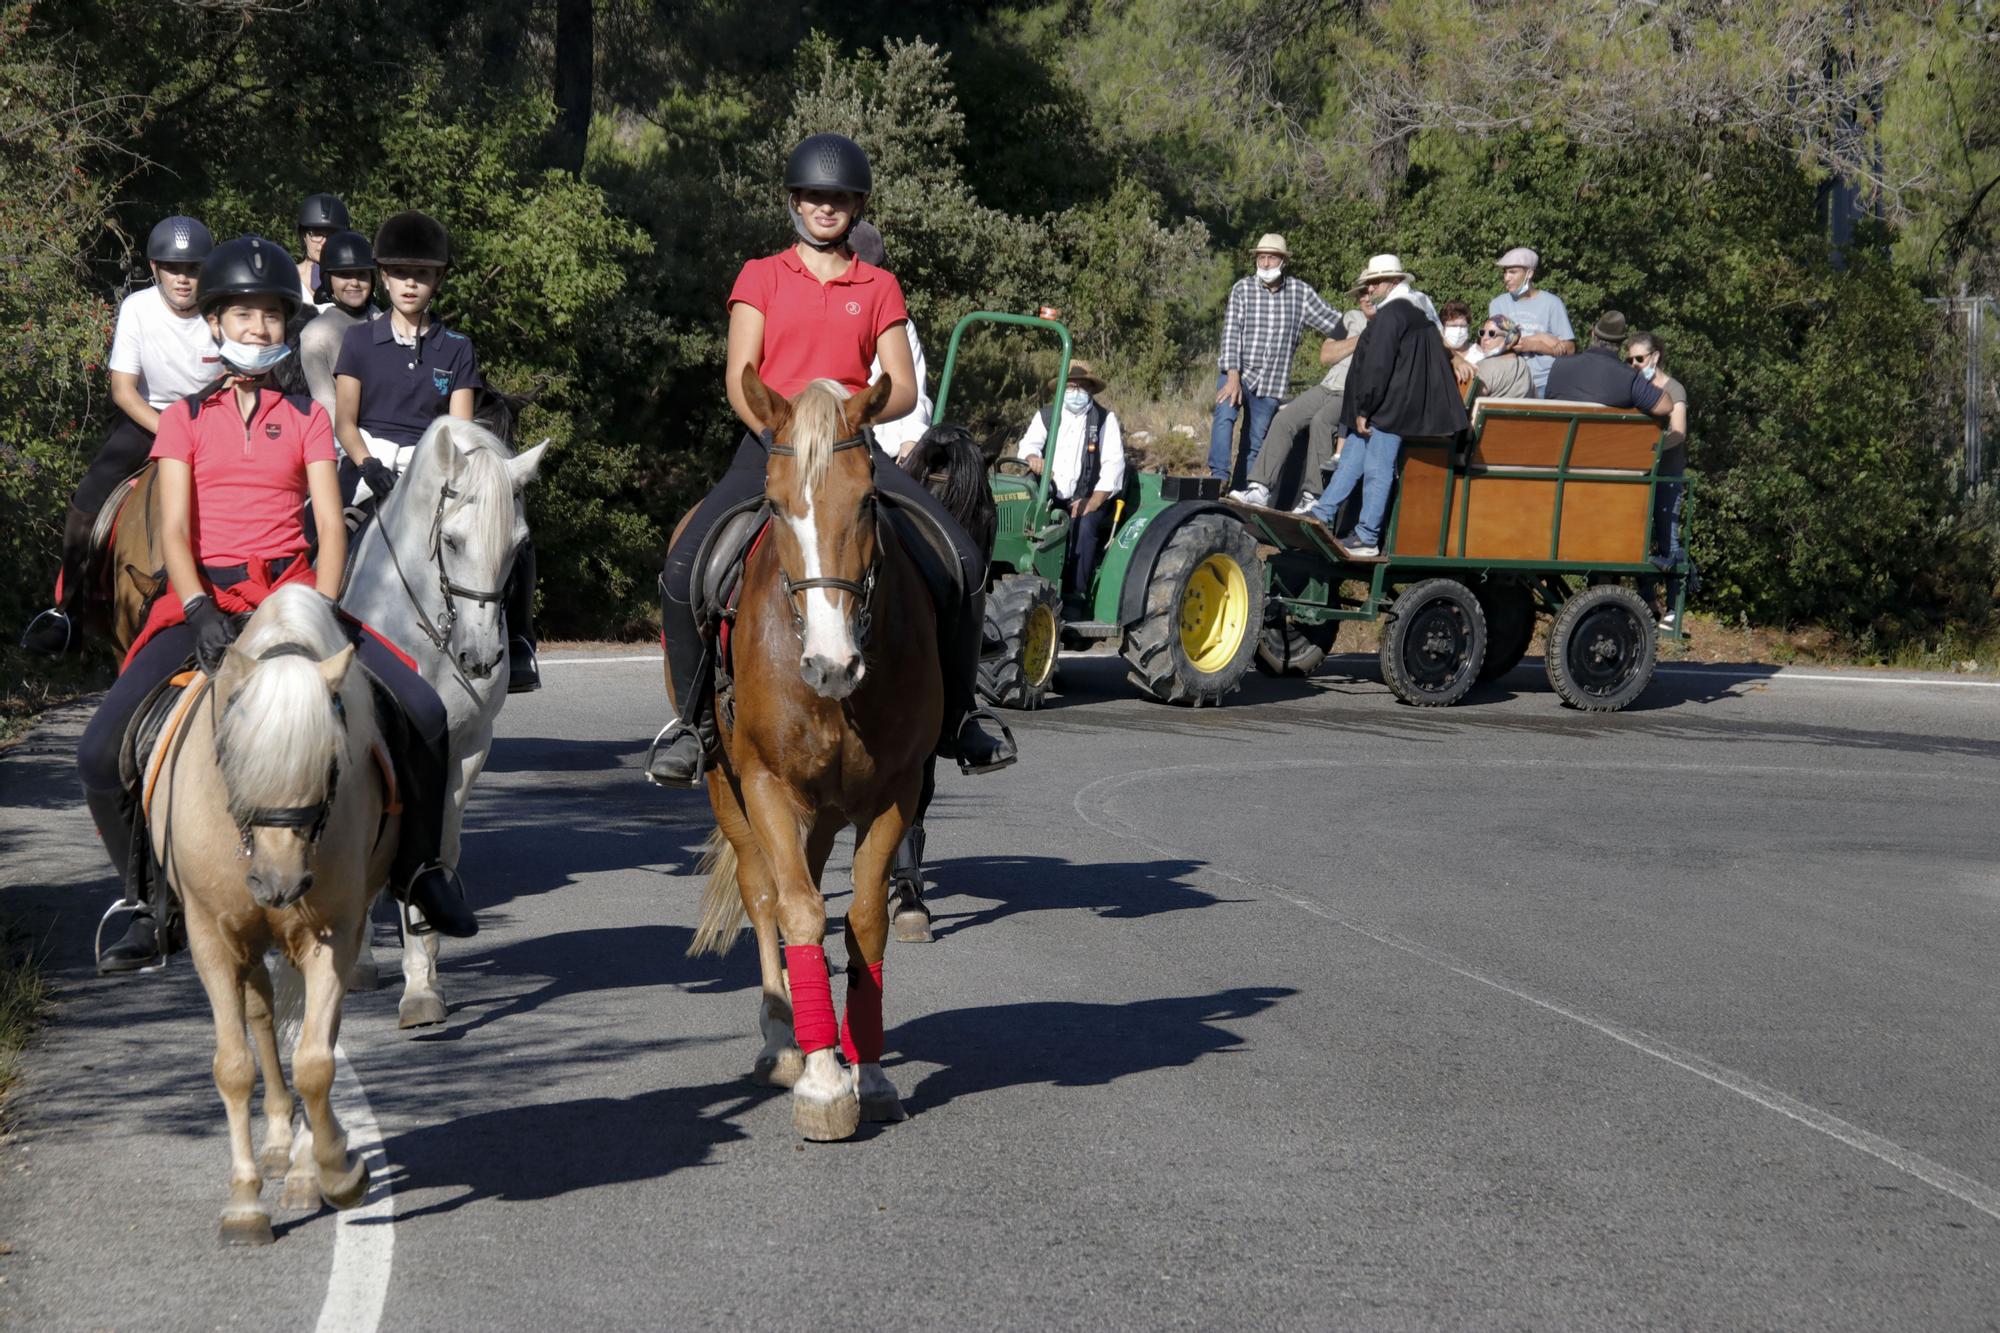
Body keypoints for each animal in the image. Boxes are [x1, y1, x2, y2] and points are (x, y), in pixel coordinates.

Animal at [146, 588, 396, 1240]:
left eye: (332, 764)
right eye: (231, 757)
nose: (278, 885)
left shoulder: (334, 933)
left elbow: (315, 1059)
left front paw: (335, 1172)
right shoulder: (211, 937)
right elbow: (233, 1065)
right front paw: (244, 1202)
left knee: (310, 1029)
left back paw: (303, 1161)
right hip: (247, 937)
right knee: (259, 1015)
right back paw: (280, 1145)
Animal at [340, 420, 548, 1020]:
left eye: (519, 546)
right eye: (451, 541)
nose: (478, 659)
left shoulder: (468, 746)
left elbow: (439, 851)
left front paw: (423, 981)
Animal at [684, 368, 940, 1136]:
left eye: (866, 500)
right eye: (775, 504)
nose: (831, 666)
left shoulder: (896, 789)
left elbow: (865, 919)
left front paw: (871, 1072)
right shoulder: (765, 782)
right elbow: (793, 907)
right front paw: (825, 1081)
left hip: (823, 807)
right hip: (727, 784)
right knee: (764, 890)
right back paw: (781, 1037)